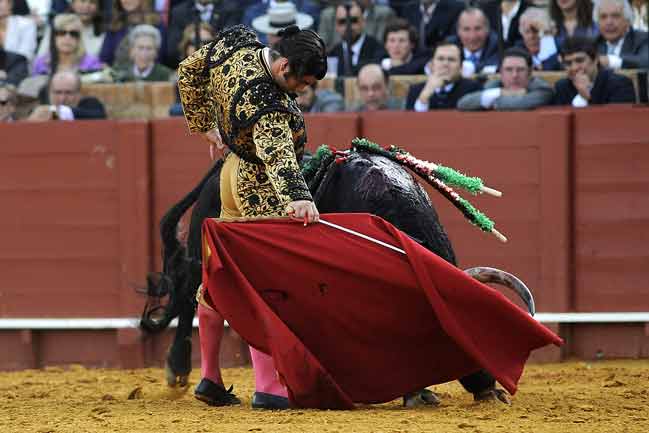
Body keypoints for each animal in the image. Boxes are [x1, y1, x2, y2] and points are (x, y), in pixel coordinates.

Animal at [142, 151, 512, 402]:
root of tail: (219, 168)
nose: (491, 388)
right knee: (192, 297)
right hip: (202, 249)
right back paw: (180, 371)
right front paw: (413, 390)